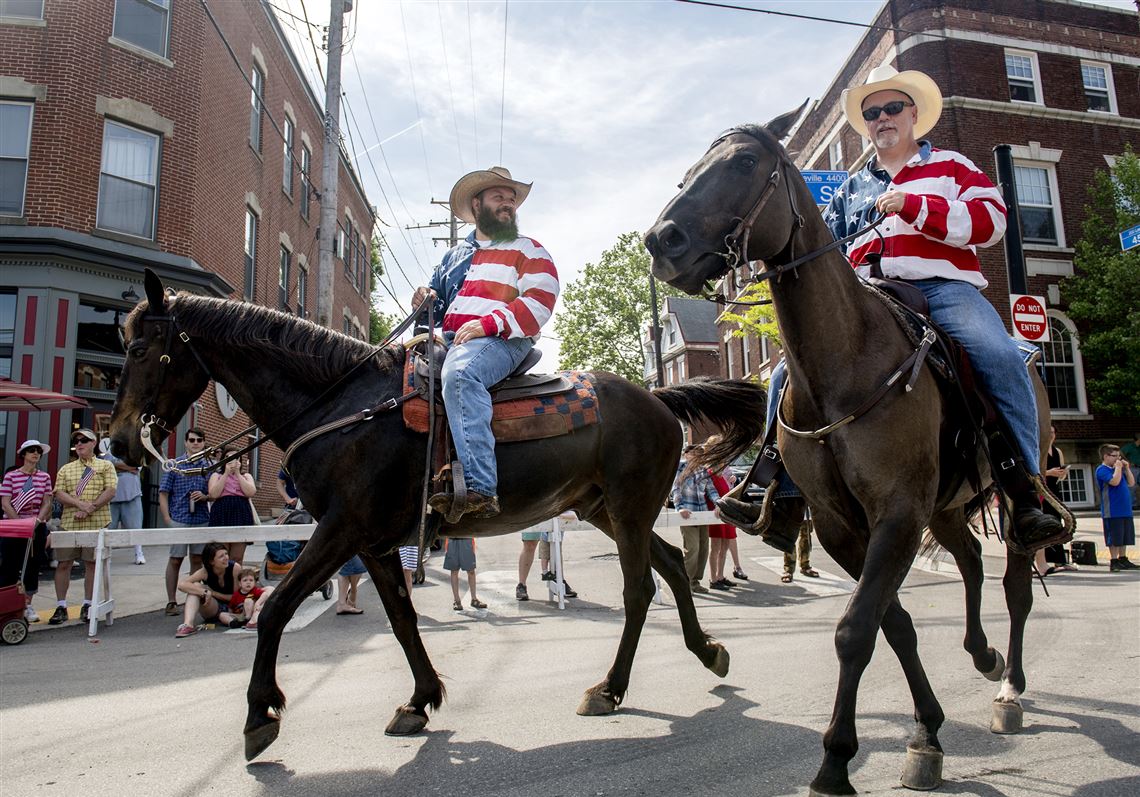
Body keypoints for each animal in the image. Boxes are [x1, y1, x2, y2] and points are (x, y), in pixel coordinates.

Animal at [108, 272, 766, 761]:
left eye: (140, 350)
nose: (118, 442)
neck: (343, 407)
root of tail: (658, 397)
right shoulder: (371, 541)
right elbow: (401, 620)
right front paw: (420, 700)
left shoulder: (342, 529)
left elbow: (274, 610)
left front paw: (258, 713)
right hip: (606, 509)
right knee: (675, 565)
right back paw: (708, 651)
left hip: (628, 511)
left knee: (639, 589)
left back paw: (609, 689)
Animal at [647, 114, 1053, 797]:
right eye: (687, 175)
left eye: (744, 163)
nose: (661, 241)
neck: (847, 360)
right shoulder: (843, 524)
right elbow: (894, 624)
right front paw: (926, 733)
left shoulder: (896, 512)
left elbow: (856, 629)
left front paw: (835, 762)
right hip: (947, 504)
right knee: (972, 562)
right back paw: (982, 653)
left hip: (1009, 488)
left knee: (1016, 586)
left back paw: (1011, 690)